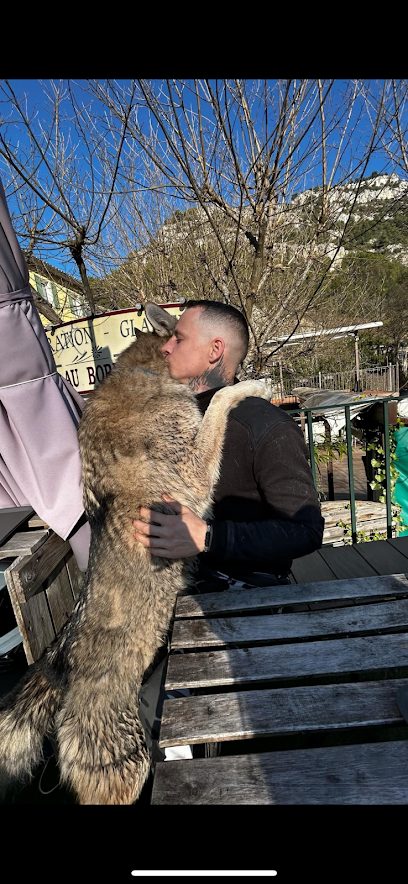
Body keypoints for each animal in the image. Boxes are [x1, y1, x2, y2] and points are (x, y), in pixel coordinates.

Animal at [0, 302, 271, 804]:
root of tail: (57, 661)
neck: (145, 371)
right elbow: (221, 401)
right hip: (130, 768)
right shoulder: (195, 475)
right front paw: (254, 385)